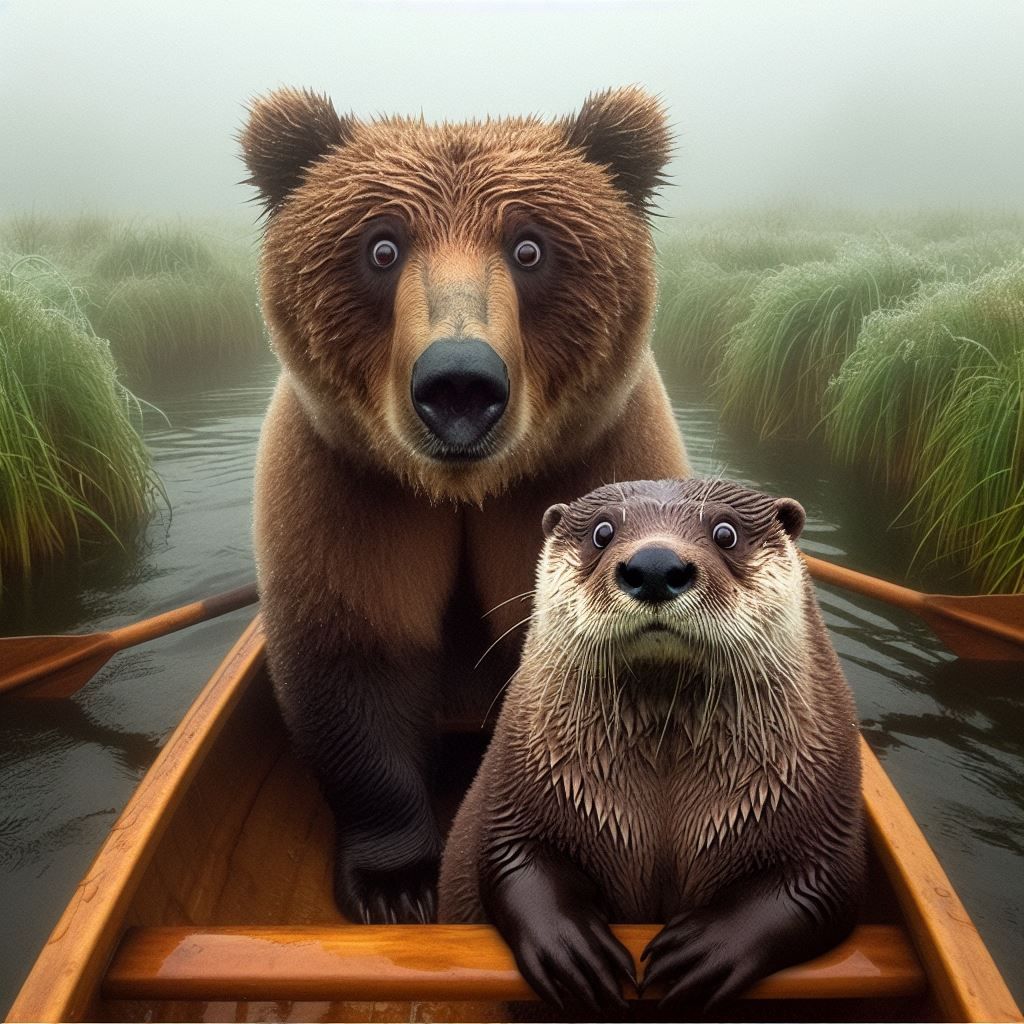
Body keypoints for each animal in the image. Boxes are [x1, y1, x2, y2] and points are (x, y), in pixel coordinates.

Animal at [239, 85, 690, 924]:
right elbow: (355, 652)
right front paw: (398, 886)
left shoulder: (597, 463)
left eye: (530, 248)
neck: (467, 491)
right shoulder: (351, 488)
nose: (458, 383)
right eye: (381, 247)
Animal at [438, 477, 866, 1013]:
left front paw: (709, 949)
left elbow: (824, 886)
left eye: (726, 532)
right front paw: (574, 950)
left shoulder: (825, 814)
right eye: (602, 532)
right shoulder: (517, 790)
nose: (656, 566)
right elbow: (508, 858)